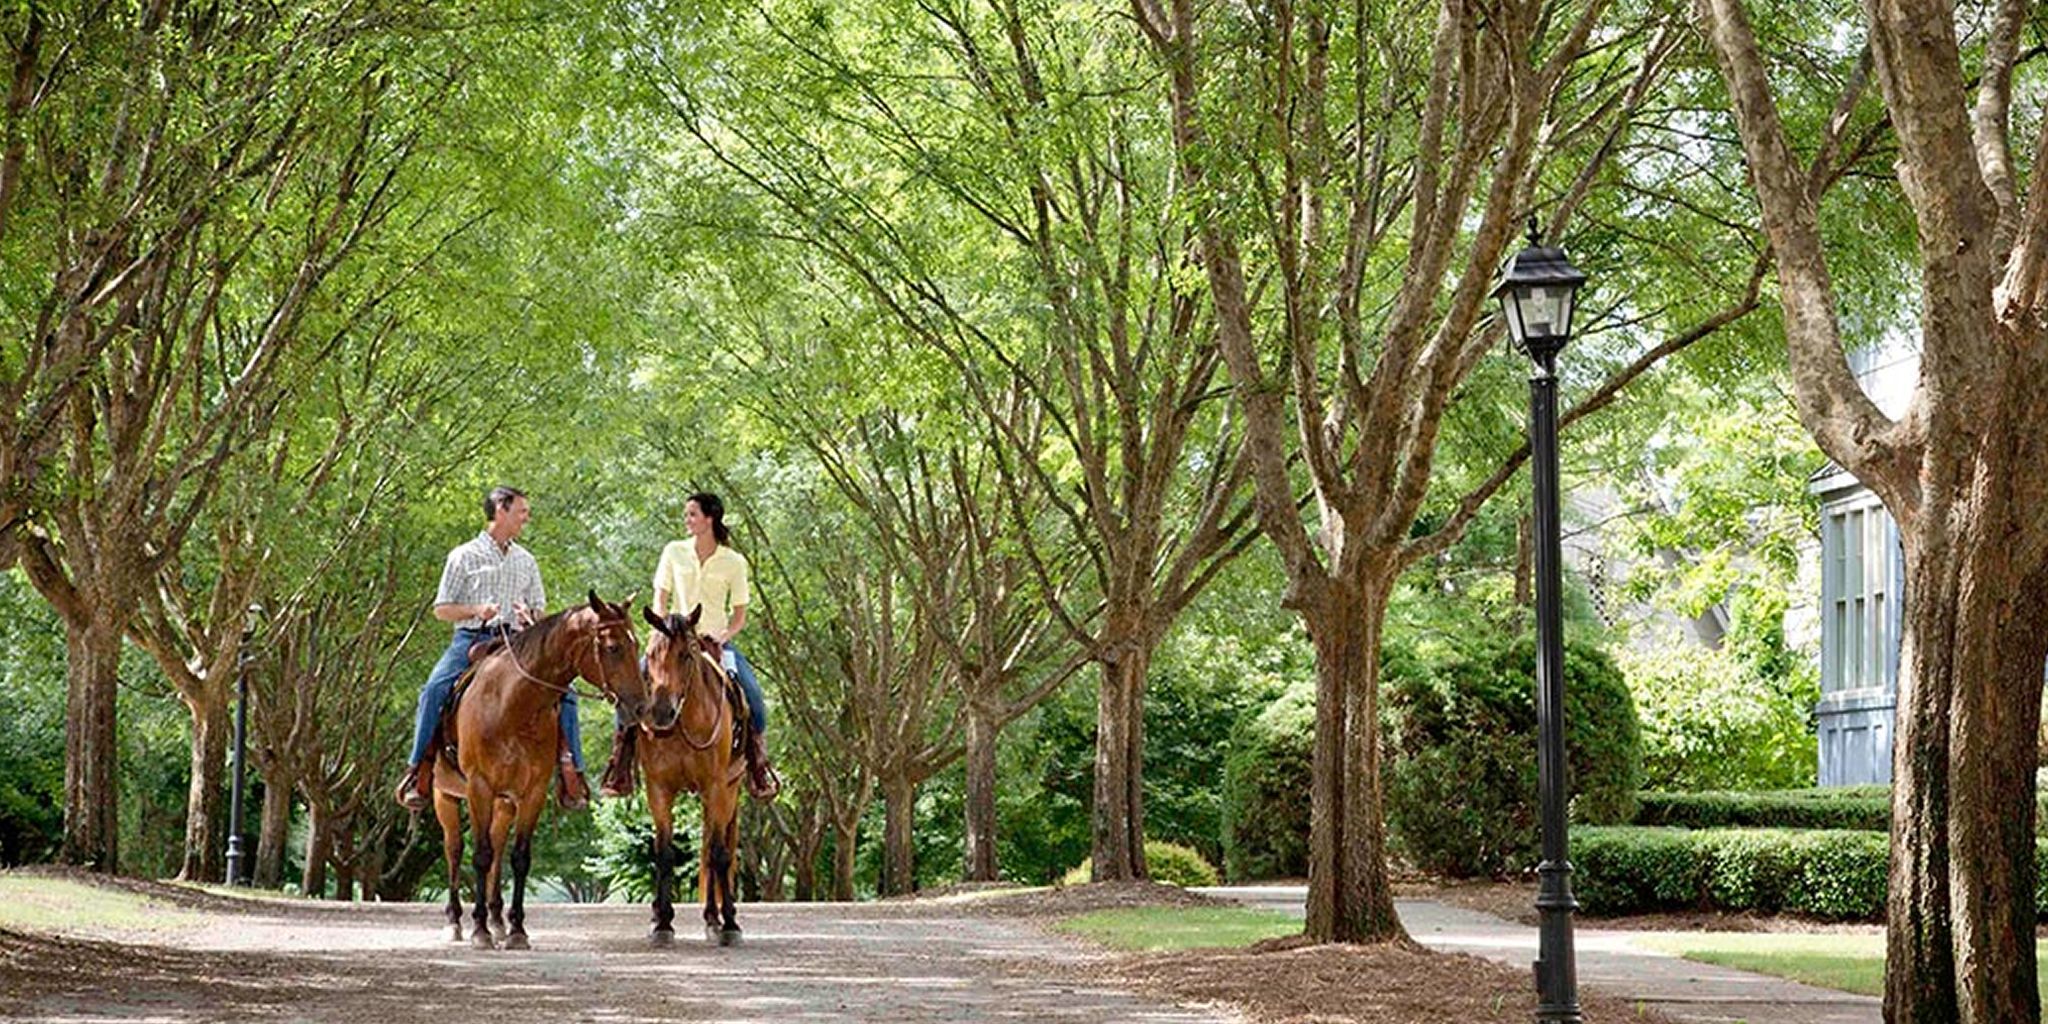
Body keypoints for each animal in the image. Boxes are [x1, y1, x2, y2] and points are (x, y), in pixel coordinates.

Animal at [432, 593, 647, 950]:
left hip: (504, 803)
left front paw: (516, 930)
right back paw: (455, 922)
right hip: (445, 795)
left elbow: (519, 858)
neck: (512, 705)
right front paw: (479, 931)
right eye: (613, 647)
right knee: (454, 849)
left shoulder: (532, 792)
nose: (642, 707)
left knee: (497, 847)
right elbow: (479, 855)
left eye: (636, 643)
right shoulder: (479, 787)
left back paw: (497, 920)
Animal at [643, 602, 749, 946]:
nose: (660, 713)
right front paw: (662, 923)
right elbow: (664, 853)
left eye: (686, 655)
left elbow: (718, 853)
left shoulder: (715, 786)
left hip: (729, 789)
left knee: (715, 849)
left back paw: (718, 918)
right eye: (649, 655)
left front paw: (730, 923)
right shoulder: (658, 788)